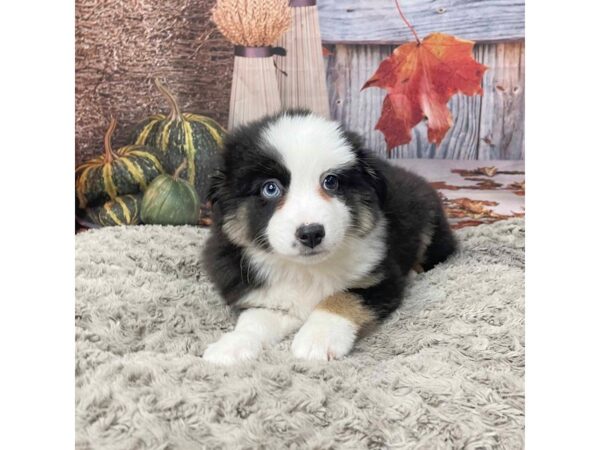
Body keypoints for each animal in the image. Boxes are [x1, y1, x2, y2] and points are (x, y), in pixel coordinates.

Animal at [202, 110, 454, 366]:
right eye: (270, 188)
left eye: (331, 181)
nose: (311, 233)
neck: (306, 270)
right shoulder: (267, 297)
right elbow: (254, 321)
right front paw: (231, 346)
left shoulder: (380, 277)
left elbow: (342, 298)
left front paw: (318, 339)